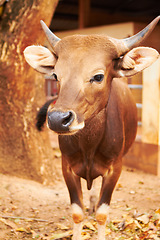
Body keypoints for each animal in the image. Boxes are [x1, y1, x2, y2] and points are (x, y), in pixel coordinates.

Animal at [24, 15, 160, 239]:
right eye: (55, 76)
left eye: (98, 76)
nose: (58, 119)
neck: (89, 144)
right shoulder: (67, 167)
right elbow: (77, 213)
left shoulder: (115, 169)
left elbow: (103, 215)